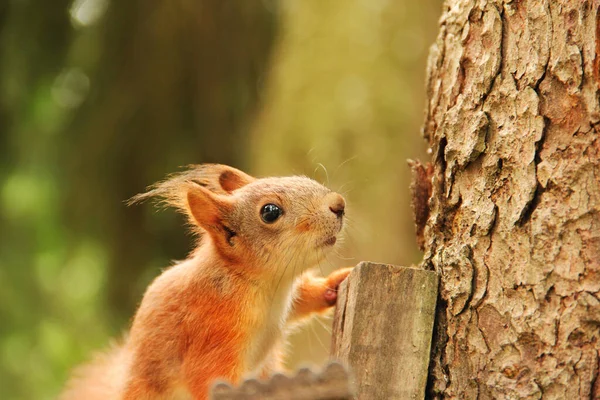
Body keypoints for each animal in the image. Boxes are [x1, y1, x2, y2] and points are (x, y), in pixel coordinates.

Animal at [61, 163, 352, 400]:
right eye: (270, 212)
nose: (339, 204)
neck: (266, 287)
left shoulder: (288, 295)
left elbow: (303, 299)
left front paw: (335, 283)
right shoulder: (212, 332)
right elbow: (211, 379)